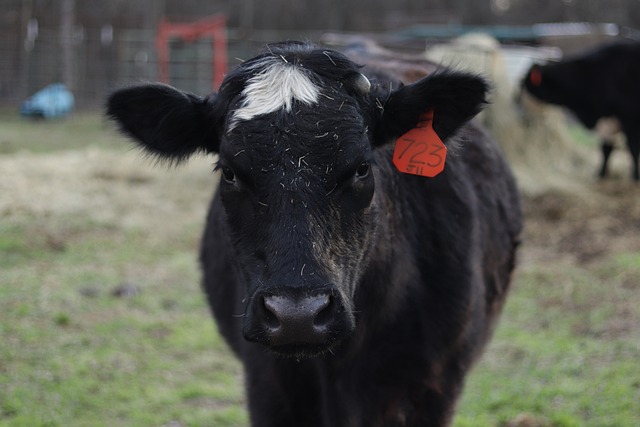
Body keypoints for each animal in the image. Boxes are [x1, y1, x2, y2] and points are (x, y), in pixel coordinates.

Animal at [524, 40, 640, 181]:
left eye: (525, 85)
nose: (515, 98)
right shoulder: (608, 121)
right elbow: (606, 149)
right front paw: (600, 174)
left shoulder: (630, 119)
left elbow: (633, 149)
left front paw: (635, 176)